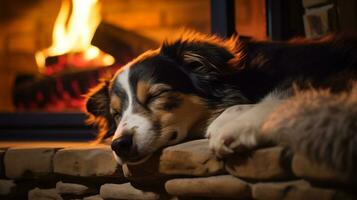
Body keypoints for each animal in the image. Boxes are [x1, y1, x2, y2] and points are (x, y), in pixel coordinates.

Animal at [86, 32, 356, 177]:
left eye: (156, 95)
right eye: (116, 114)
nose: (119, 145)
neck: (242, 78)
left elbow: (284, 93)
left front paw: (234, 126)